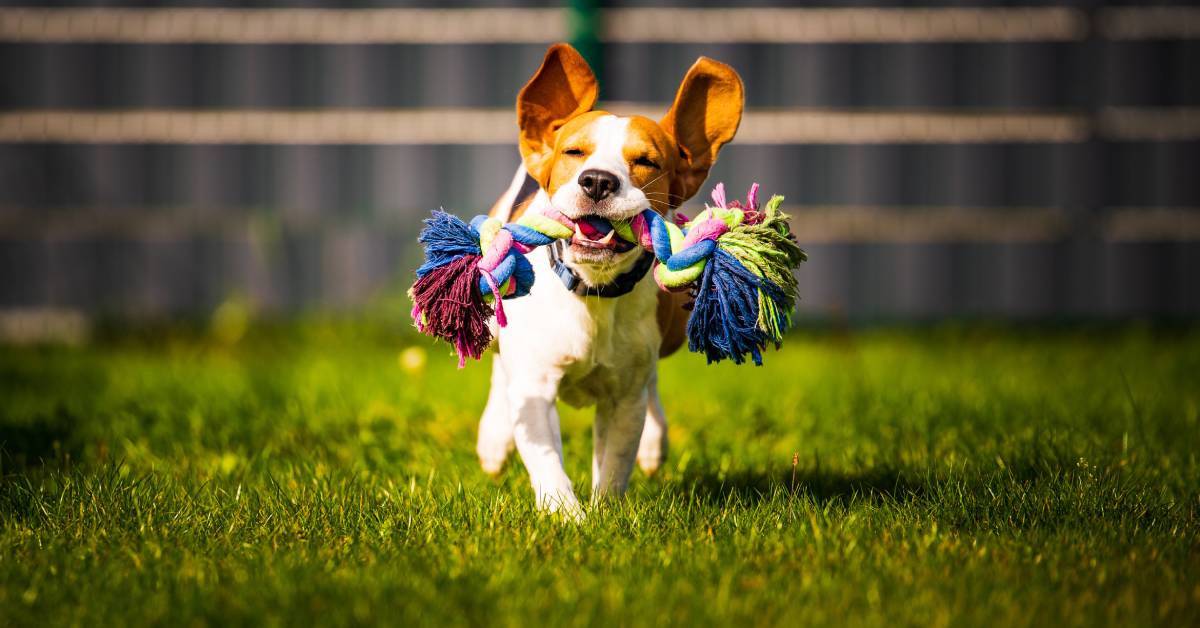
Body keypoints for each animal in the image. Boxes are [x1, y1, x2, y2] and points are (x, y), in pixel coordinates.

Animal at [475, 44, 739, 516]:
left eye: (646, 161)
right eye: (574, 152)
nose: (598, 180)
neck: (592, 289)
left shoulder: (624, 397)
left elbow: (615, 462)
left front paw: (604, 513)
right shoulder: (536, 385)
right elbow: (546, 460)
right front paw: (566, 516)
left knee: (652, 386)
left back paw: (654, 442)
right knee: (499, 368)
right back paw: (494, 438)